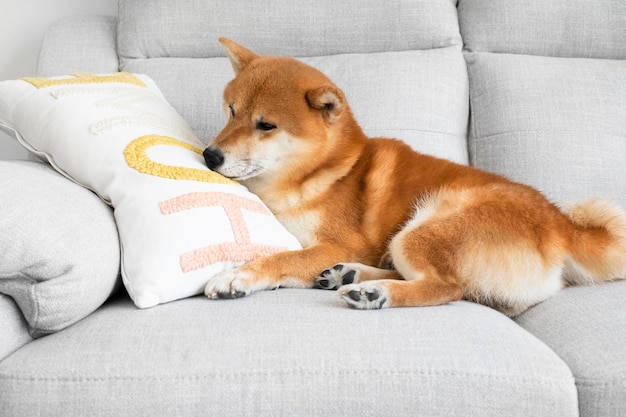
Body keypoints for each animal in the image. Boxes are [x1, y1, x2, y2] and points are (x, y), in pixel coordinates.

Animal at [201, 37, 624, 314]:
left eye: (266, 125)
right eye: (231, 111)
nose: (209, 155)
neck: (323, 172)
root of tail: (561, 224)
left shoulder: (340, 242)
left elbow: (282, 257)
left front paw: (237, 276)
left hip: (422, 228)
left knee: (448, 287)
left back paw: (374, 293)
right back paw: (350, 276)